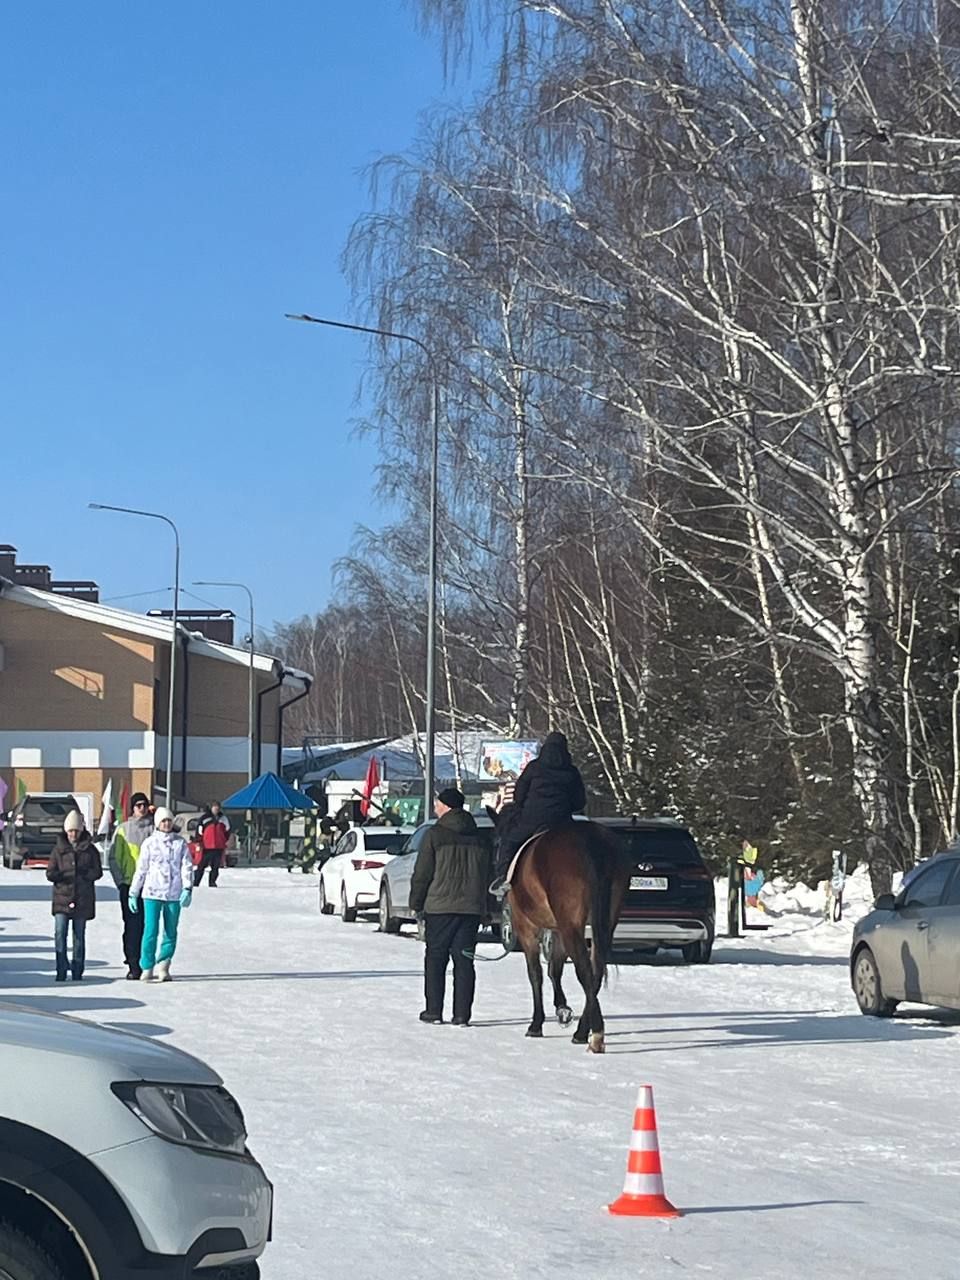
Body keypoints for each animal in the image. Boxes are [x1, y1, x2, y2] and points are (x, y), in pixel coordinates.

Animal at [496, 819, 632, 1049]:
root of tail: (590, 840)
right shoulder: (557, 930)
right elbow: (554, 970)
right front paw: (562, 1009)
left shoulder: (527, 928)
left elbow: (536, 974)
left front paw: (536, 1024)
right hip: (604, 923)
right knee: (595, 972)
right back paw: (584, 1030)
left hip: (571, 927)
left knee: (585, 971)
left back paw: (594, 1035)